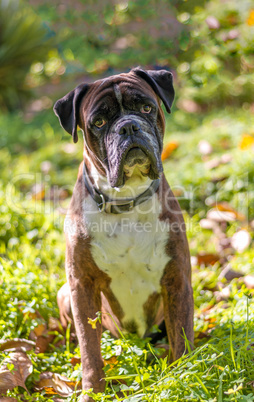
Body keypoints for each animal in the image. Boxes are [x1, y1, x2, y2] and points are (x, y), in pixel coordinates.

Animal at [53, 67, 192, 400]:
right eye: (99, 122)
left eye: (147, 108)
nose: (128, 126)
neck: (126, 201)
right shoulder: (81, 286)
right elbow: (90, 349)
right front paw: (92, 391)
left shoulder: (176, 277)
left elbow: (182, 333)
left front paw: (183, 376)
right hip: (64, 293)